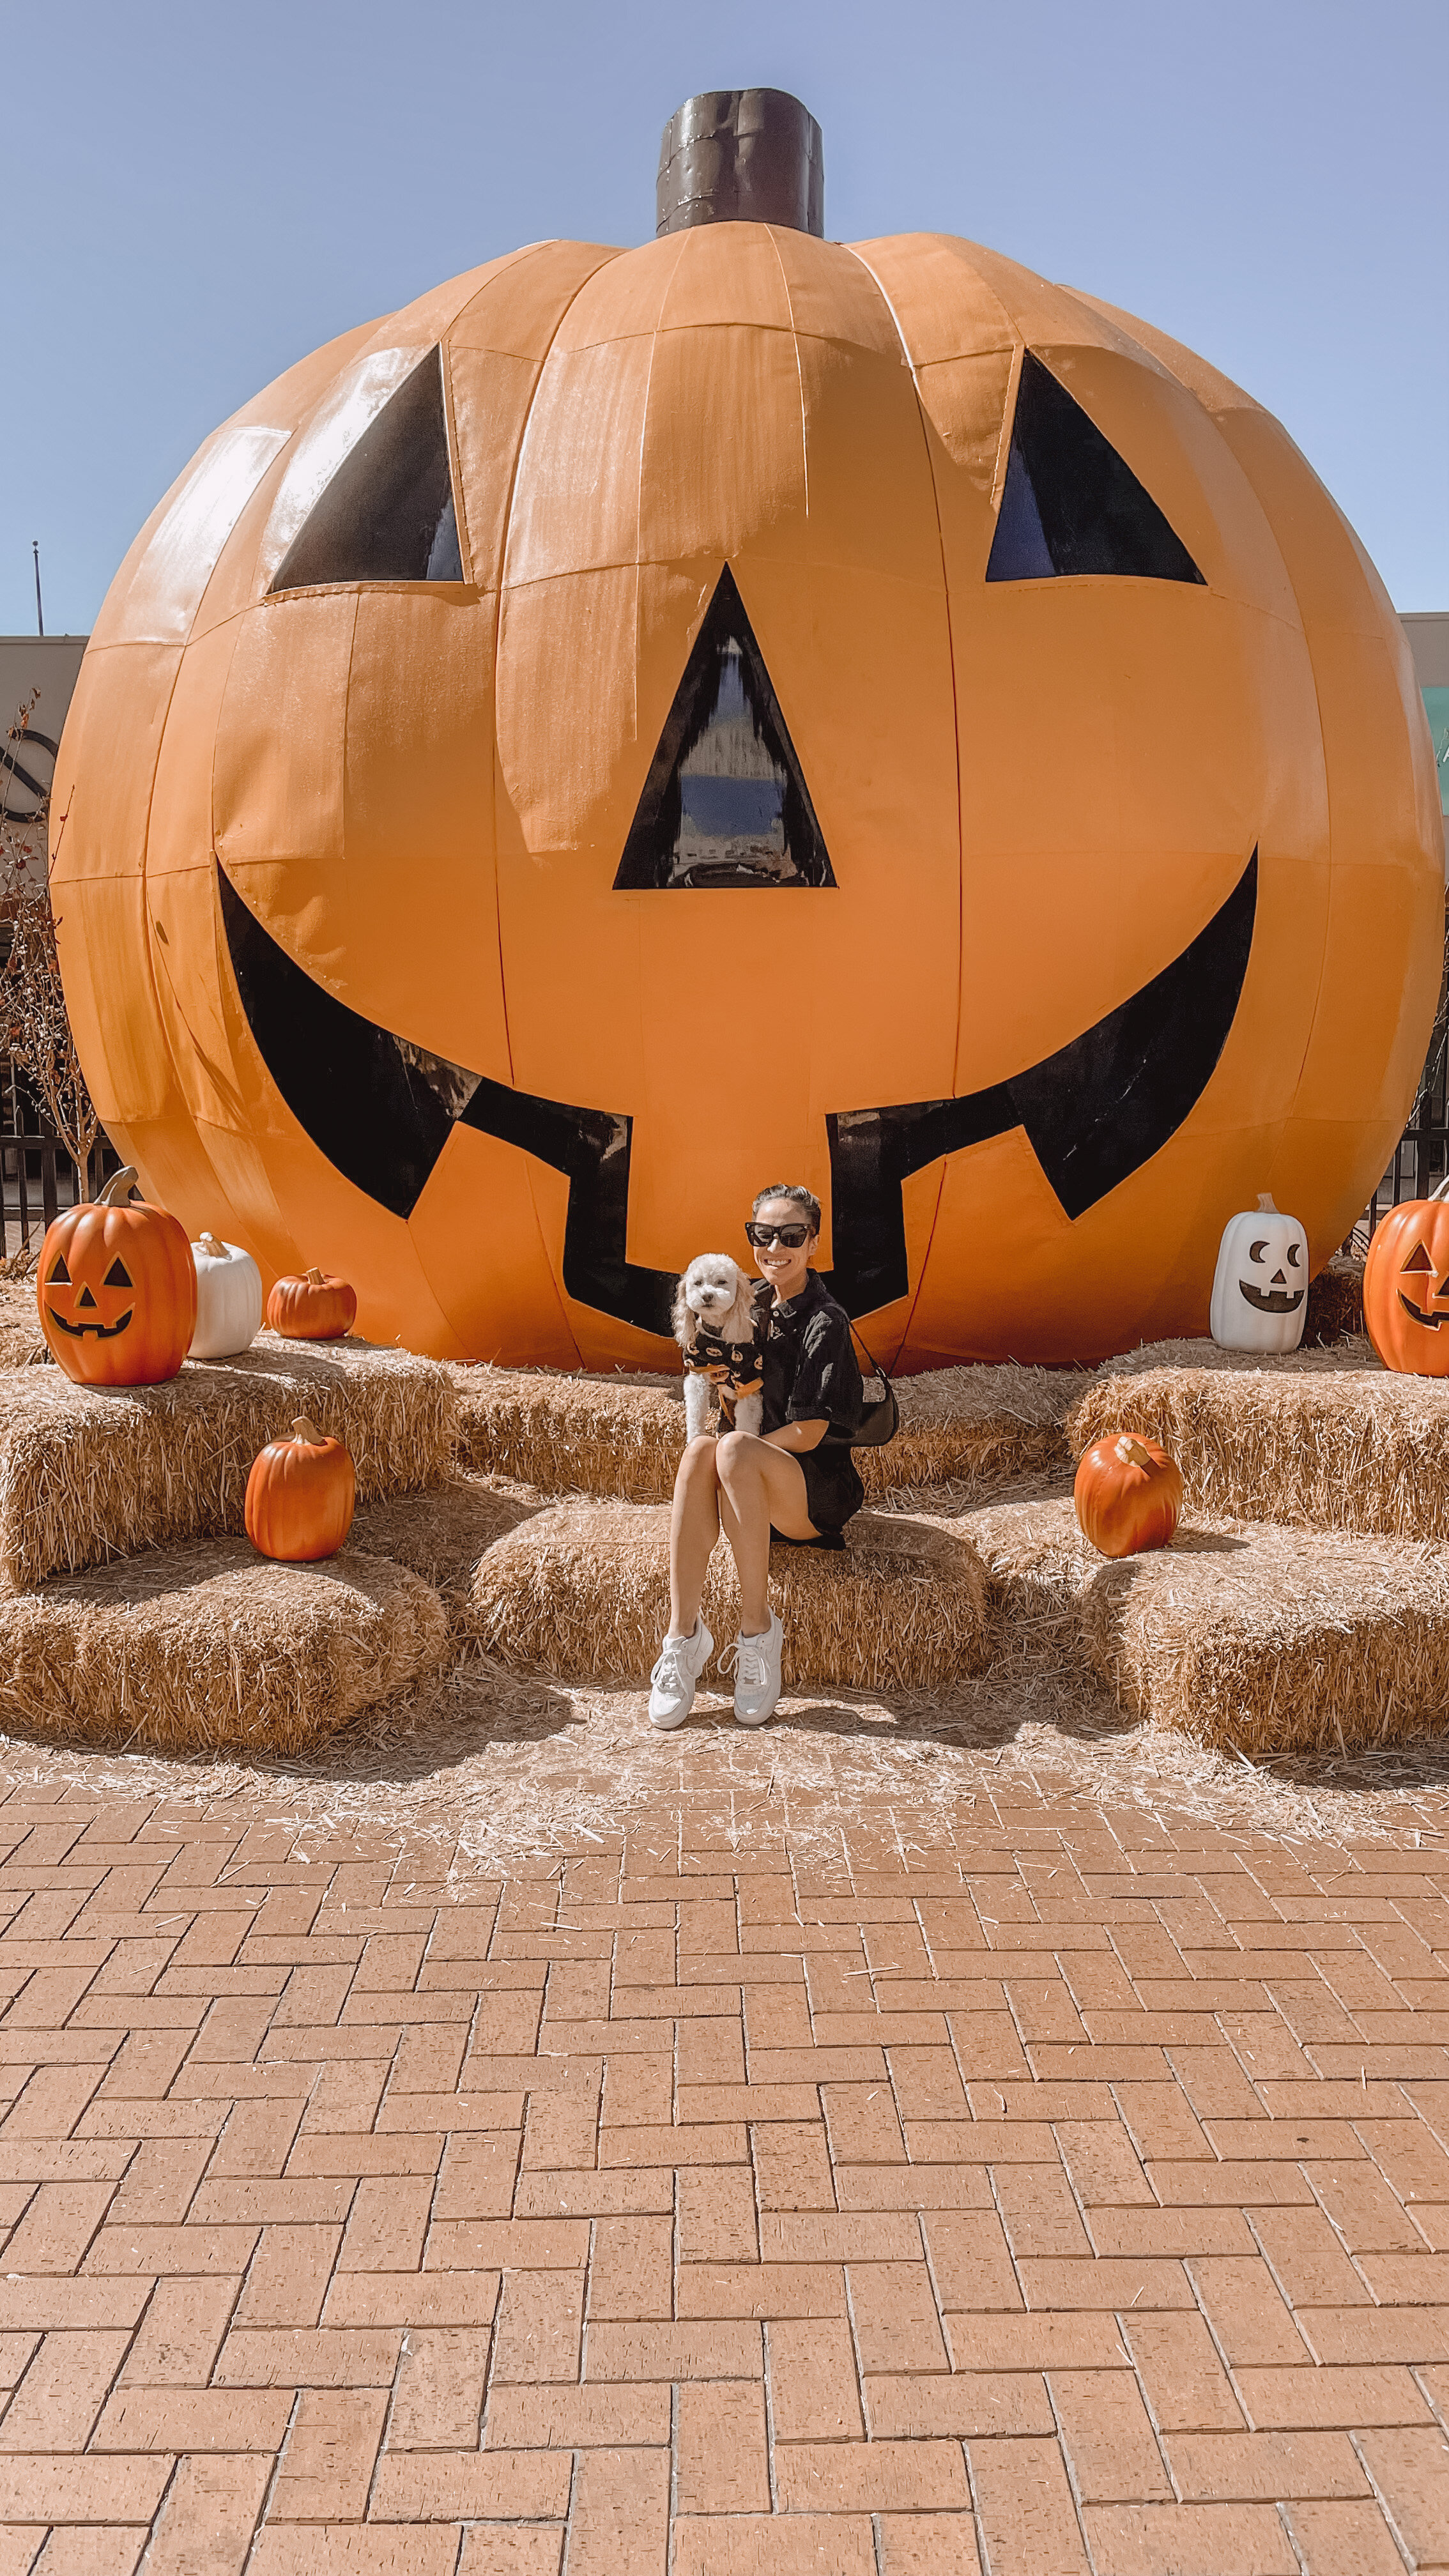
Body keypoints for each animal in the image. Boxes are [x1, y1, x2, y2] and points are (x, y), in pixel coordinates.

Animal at [675, 1252, 773, 1453]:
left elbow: (747, 1423)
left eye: (721, 1282)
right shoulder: (697, 1368)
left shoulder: (748, 1378)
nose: (707, 1295)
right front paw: (695, 1436)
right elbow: (696, 1409)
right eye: (698, 1283)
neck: (717, 1336)